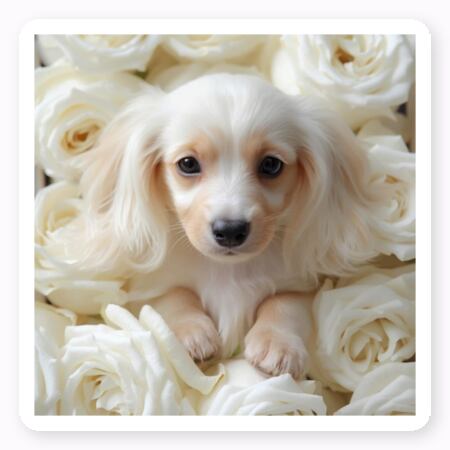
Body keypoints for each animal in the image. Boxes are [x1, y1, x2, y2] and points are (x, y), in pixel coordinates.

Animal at [75, 74, 375, 379]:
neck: (229, 270)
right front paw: (189, 333)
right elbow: (173, 296)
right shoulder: (146, 289)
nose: (230, 230)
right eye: (188, 164)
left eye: (271, 164)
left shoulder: (303, 286)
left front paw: (277, 342)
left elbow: (284, 303)